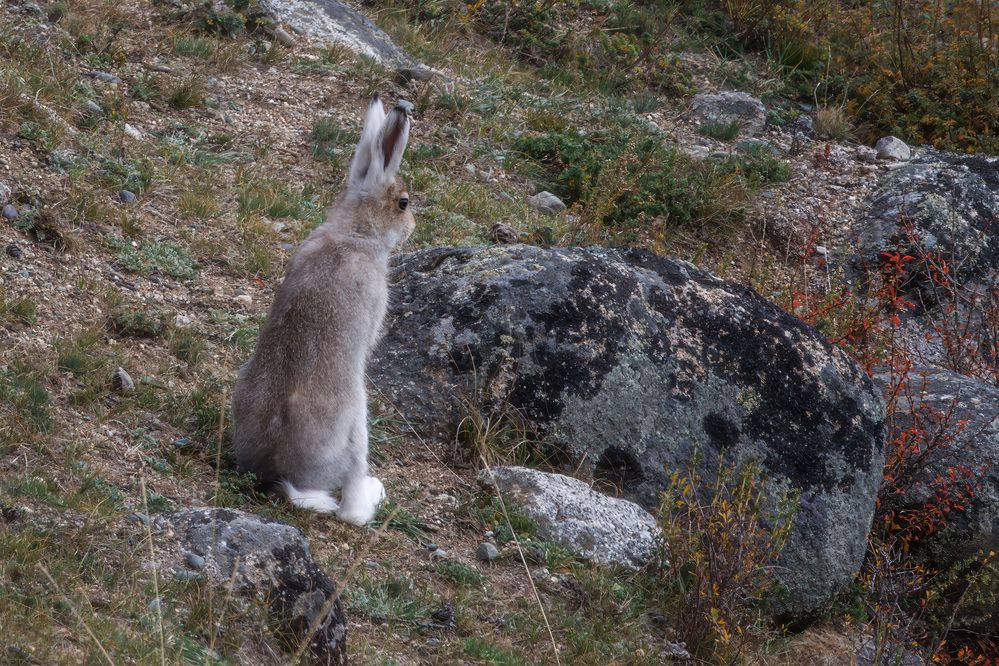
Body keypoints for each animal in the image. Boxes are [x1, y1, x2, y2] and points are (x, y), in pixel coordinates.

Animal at [231, 94, 415, 525]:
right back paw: (373, 493)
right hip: (357, 423)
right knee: (351, 508)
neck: (355, 232)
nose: (412, 225)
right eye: (403, 203)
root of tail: (281, 474)